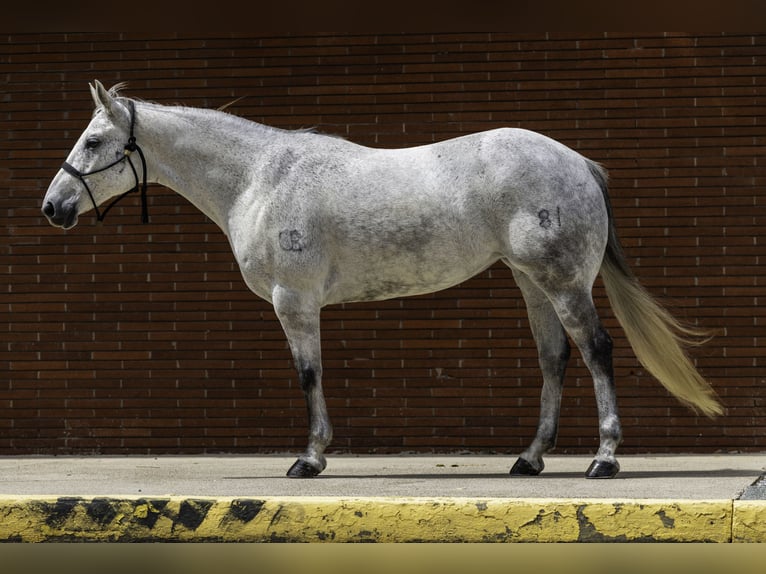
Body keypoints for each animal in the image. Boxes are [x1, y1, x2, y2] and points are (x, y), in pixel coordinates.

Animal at [42, 81, 722, 479]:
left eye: (94, 140)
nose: (53, 207)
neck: (260, 178)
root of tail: (577, 162)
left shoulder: (295, 301)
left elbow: (309, 375)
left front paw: (310, 458)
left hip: (563, 282)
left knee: (597, 351)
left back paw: (604, 459)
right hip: (532, 282)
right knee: (554, 360)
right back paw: (529, 459)